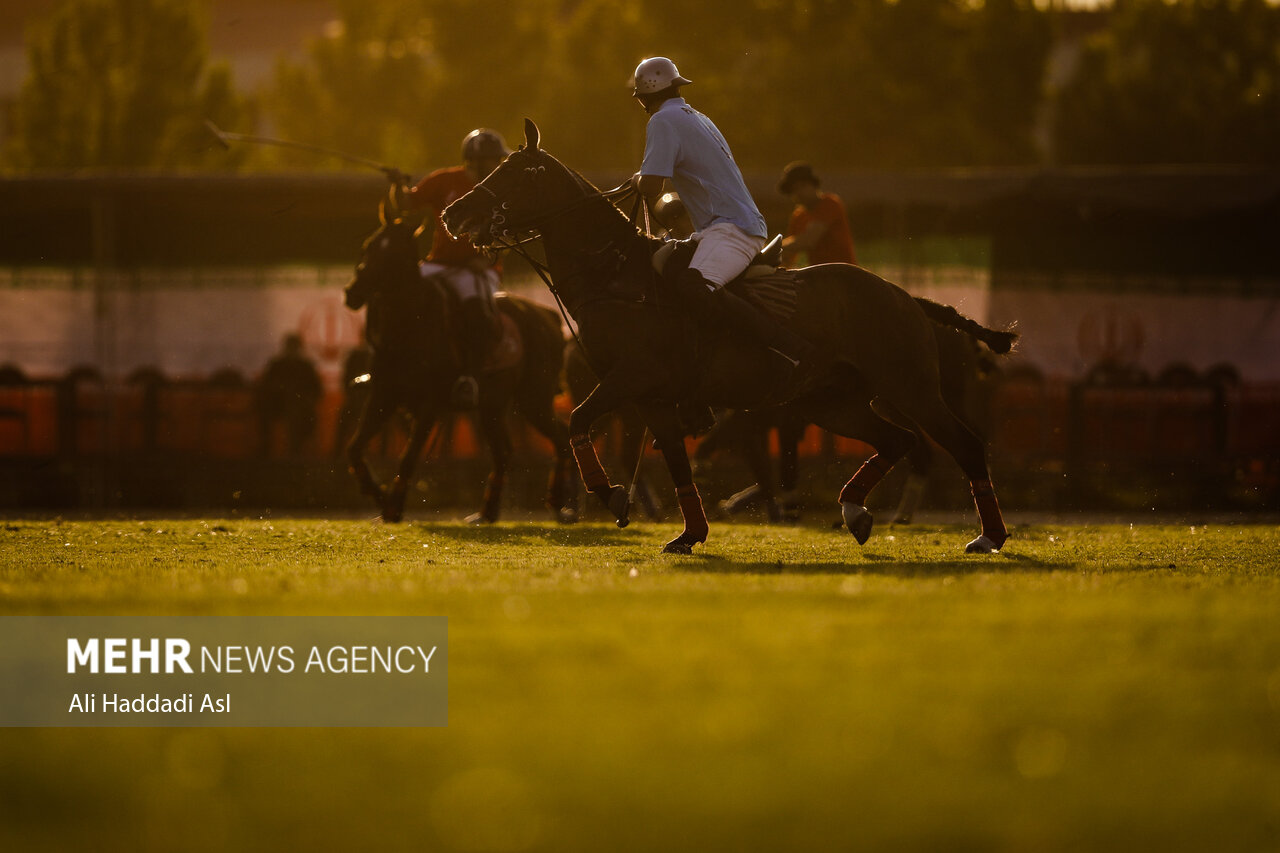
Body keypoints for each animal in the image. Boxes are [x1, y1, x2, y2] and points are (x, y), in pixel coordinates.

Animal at [445, 122, 1013, 555]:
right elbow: (676, 463)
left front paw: (611, 495)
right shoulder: (651, 398)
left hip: (911, 385)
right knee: (898, 440)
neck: (613, 275)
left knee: (964, 443)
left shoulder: (633, 377)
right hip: (829, 401)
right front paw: (687, 534)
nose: (454, 214)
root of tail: (907, 296)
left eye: (512, 173)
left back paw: (989, 537)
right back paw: (855, 510)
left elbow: (578, 421)